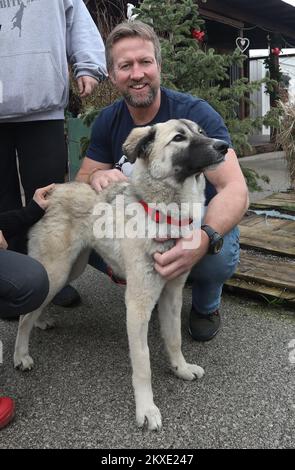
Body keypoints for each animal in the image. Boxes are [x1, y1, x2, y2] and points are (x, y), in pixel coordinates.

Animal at [13, 119, 229, 432]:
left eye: (201, 131)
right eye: (179, 138)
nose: (224, 146)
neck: (164, 215)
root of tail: (54, 191)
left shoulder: (171, 294)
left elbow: (174, 338)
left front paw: (181, 368)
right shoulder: (138, 306)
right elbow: (143, 364)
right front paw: (146, 409)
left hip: (71, 268)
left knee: (37, 305)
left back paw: (40, 322)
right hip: (57, 269)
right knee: (24, 315)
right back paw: (20, 355)